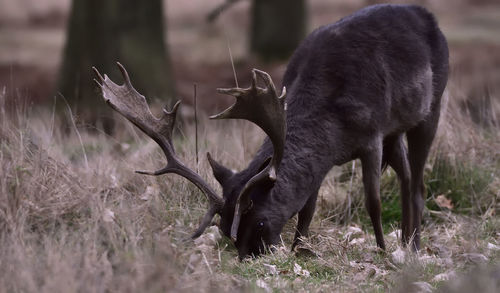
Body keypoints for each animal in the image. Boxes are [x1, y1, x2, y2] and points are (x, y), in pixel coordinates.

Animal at [93, 3, 450, 256]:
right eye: (223, 227)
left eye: (261, 221)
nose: (250, 255)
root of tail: (429, 16)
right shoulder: (327, 158)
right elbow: (307, 207)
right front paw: (301, 250)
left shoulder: (372, 133)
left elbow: (373, 201)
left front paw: (381, 251)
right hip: (396, 130)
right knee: (406, 176)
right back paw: (406, 239)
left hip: (431, 107)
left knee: (417, 184)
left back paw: (412, 246)